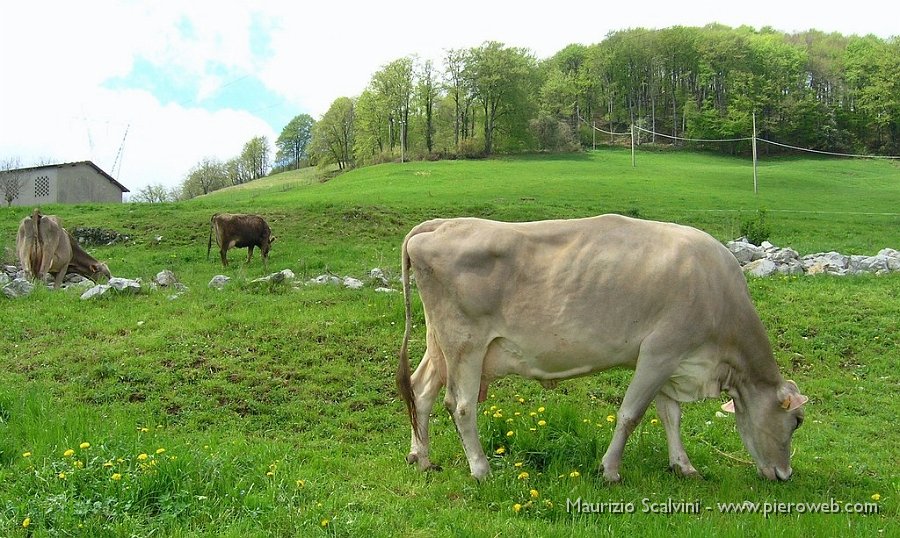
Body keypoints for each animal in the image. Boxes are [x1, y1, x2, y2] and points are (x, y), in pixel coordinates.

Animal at [398, 214, 812, 482]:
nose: (785, 474)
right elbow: (631, 414)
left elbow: (670, 415)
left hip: (439, 345)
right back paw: (480, 469)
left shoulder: (673, 359)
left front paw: (683, 466)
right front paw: (610, 470)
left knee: (421, 390)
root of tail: (440, 224)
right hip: (465, 345)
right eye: (796, 421)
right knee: (461, 405)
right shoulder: (660, 352)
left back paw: (421, 457)